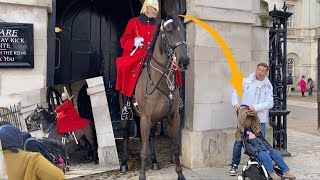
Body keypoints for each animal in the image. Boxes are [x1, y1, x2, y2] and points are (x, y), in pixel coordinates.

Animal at [120, 15, 190, 180]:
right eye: (169, 31)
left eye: (183, 32)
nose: (184, 61)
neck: (162, 80)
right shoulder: (145, 118)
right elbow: (143, 150)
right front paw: (142, 176)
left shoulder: (173, 116)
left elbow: (175, 147)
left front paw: (180, 174)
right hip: (128, 117)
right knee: (126, 136)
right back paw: (124, 163)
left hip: (154, 119)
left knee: (151, 136)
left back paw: (154, 161)